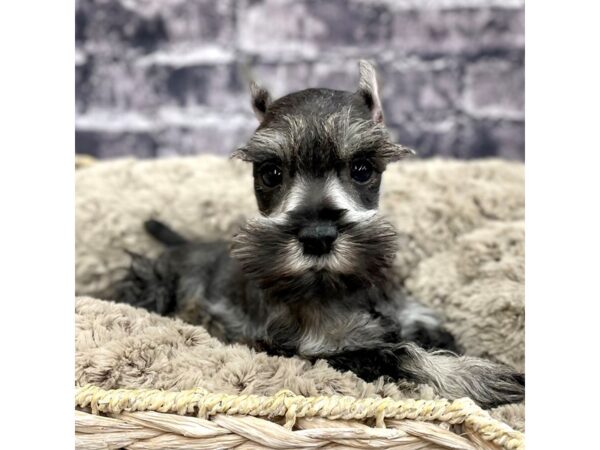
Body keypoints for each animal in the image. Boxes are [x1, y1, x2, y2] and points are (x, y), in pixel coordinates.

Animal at [113, 61, 524, 410]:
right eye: (270, 172)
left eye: (362, 168)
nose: (318, 236)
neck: (338, 288)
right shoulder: (308, 351)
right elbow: (396, 353)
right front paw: (478, 376)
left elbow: (423, 331)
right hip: (152, 283)